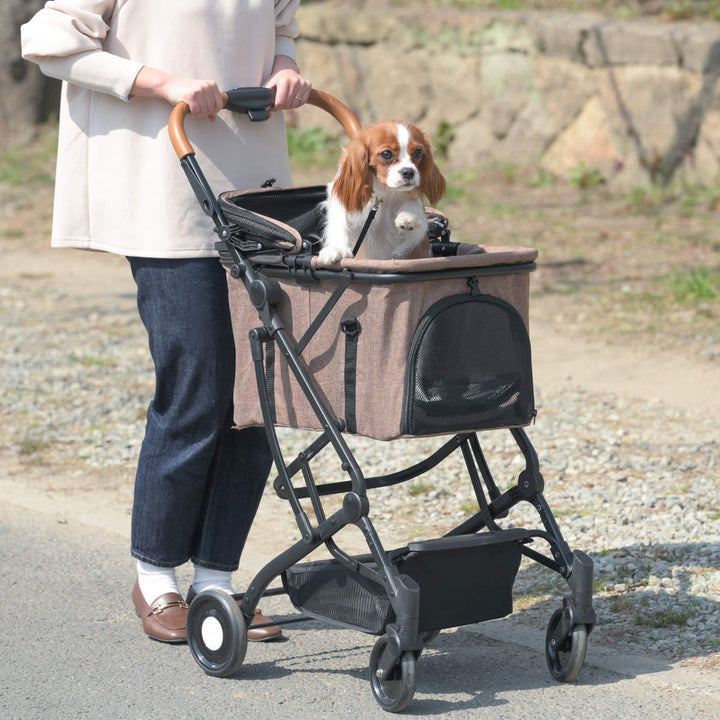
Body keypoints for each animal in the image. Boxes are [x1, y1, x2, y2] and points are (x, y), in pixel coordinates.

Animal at [320, 119, 444, 262]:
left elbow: (414, 206)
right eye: (386, 154)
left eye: (418, 152)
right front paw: (336, 249)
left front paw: (408, 217)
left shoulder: (407, 242)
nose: (409, 172)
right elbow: (340, 223)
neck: (385, 193)